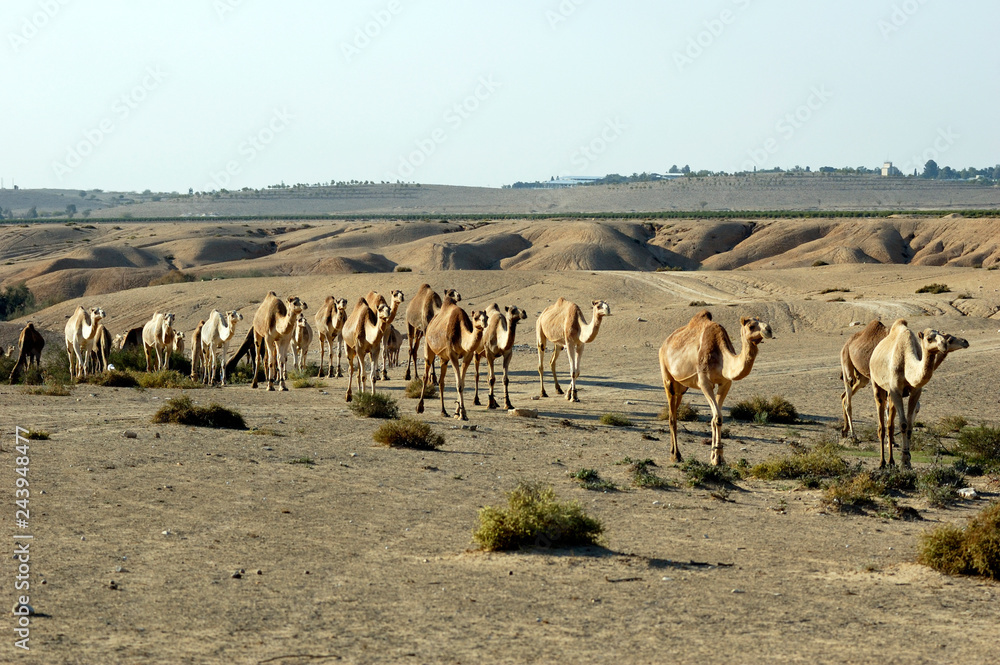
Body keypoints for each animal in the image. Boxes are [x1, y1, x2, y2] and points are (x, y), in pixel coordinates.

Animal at [656, 308, 772, 464]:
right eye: (751, 326)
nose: (769, 330)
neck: (722, 358)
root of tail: (664, 344)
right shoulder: (704, 382)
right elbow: (717, 417)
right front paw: (717, 459)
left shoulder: (725, 383)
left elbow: (716, 419)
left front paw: (716, 457)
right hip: (667, 378)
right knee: (671, 416)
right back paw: (676, 455)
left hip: (681, 388)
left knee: (676, 404)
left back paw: (675, 453)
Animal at [872, 320, 964, 466]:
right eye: (929, 338)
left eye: (943, 336)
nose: (944, 345)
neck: (907, 362)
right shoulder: (896, 389)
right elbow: (903, 424)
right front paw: (904, 461)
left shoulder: (916, 391)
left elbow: (909, 425)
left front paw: (907, 460)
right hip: (876, 384)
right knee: (882, 424)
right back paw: (882, 463)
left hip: (891, 395)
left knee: (890, 425)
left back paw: (891, 461)